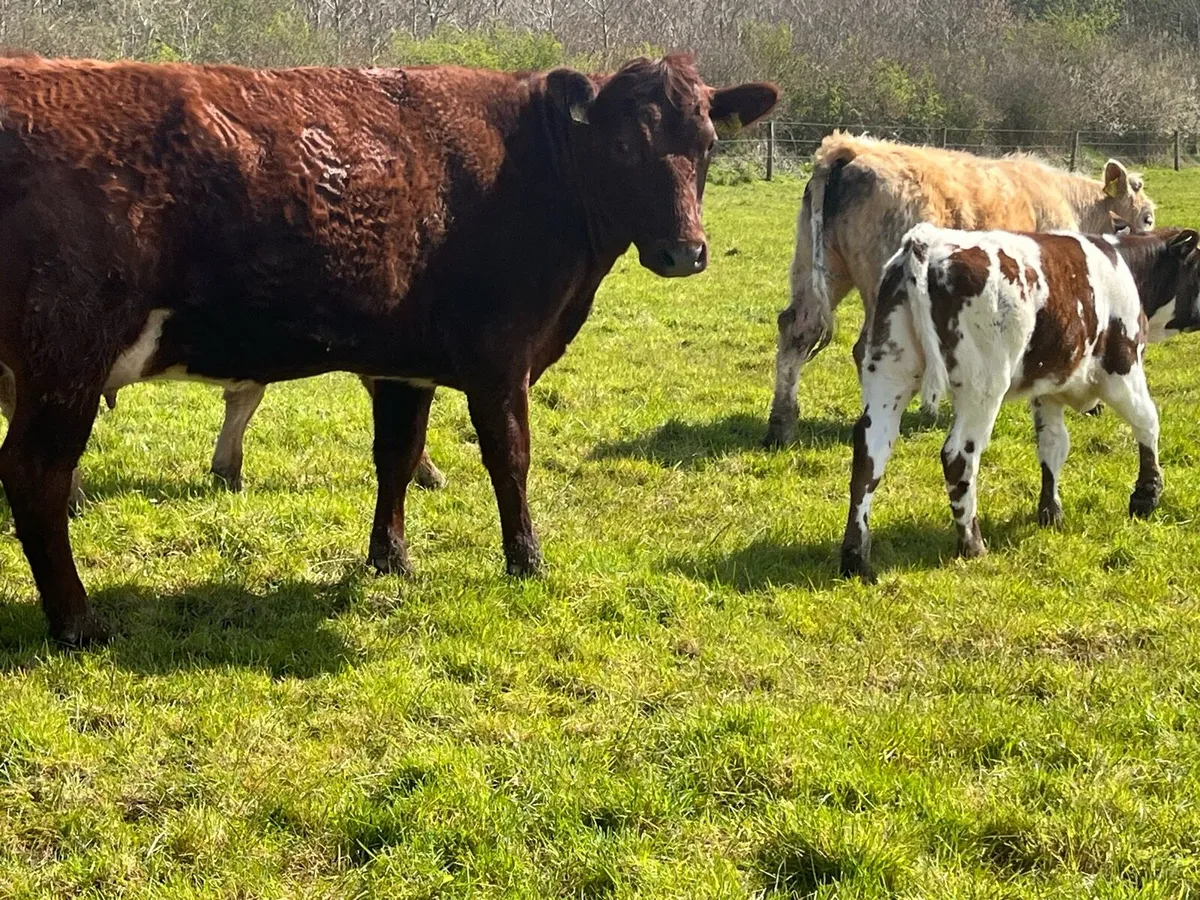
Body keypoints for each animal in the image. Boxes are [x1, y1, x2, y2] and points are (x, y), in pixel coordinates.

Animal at [0, 53, 779, 645]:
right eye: (623, 145)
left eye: (709, 145)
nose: (686, 252)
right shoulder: (501, 358)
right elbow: (511, 459)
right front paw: (527, 561)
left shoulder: (407, 367)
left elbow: (396, 458)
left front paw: (390, 559)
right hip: (66, 351)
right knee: (36, 475)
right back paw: (78, 623)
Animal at [764, 132, 1158, 447]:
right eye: (1147, 218)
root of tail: (849, 148)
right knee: (868, 350)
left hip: (817, 271)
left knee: (797, 331)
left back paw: (781, 426)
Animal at [839, 223, 1200, 582]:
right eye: (1199, 266)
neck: (1126, 267)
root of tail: (929, 240)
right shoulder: (1122, 367)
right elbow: (1147, 421)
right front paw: (1146, 496)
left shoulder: (1048, 389)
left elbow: (1053, 446)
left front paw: (1050, 512)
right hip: (982, 387)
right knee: (958, 456)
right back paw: (972, 544)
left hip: (889, 375)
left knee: (870, 455)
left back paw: (856, 558)